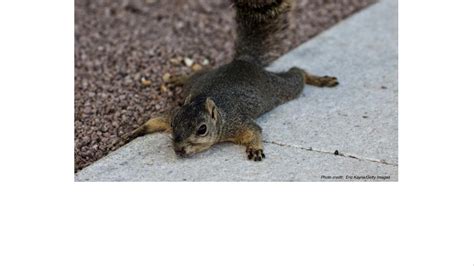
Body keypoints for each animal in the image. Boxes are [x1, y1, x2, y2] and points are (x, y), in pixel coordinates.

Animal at [122, 0, 336, 161]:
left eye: (202, 129)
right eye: (174, 125)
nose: (179, 150)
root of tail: (243, 61)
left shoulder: (237, 122)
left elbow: (255, 130)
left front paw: (255, 148)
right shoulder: (172, 113)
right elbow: (156, 120)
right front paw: (134, 132)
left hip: (279, 89)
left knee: (296, 74)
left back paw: (319, 79)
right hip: (198, 80)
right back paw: (178, 78)